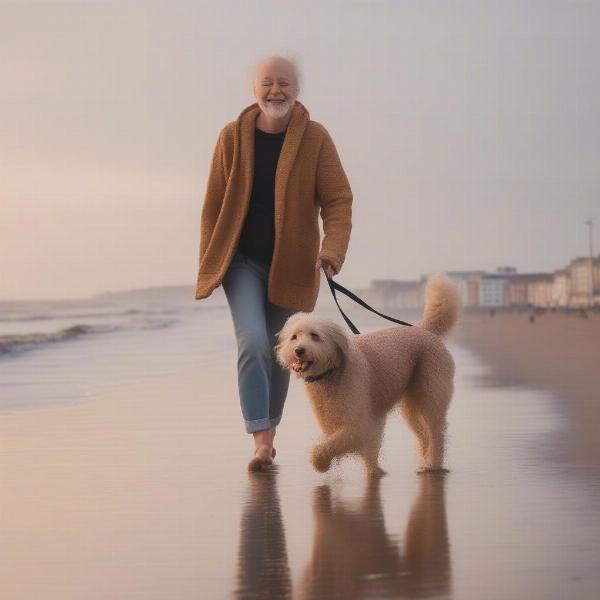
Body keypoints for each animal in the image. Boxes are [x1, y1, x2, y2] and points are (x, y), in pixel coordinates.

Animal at [274, 276, 462, 478]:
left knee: (436, 434)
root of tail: (425, 330)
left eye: (315, 336)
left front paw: (321, 462)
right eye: (294, 337)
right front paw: (373, 471)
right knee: (424, 434)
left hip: (431, 397)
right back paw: (425, 460)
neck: (333, 371)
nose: (298, 351)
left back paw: (433, 464)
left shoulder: (359, 423)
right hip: (411, 407)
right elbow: (360, 448)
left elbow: (332, 445)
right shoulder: (337, 420)